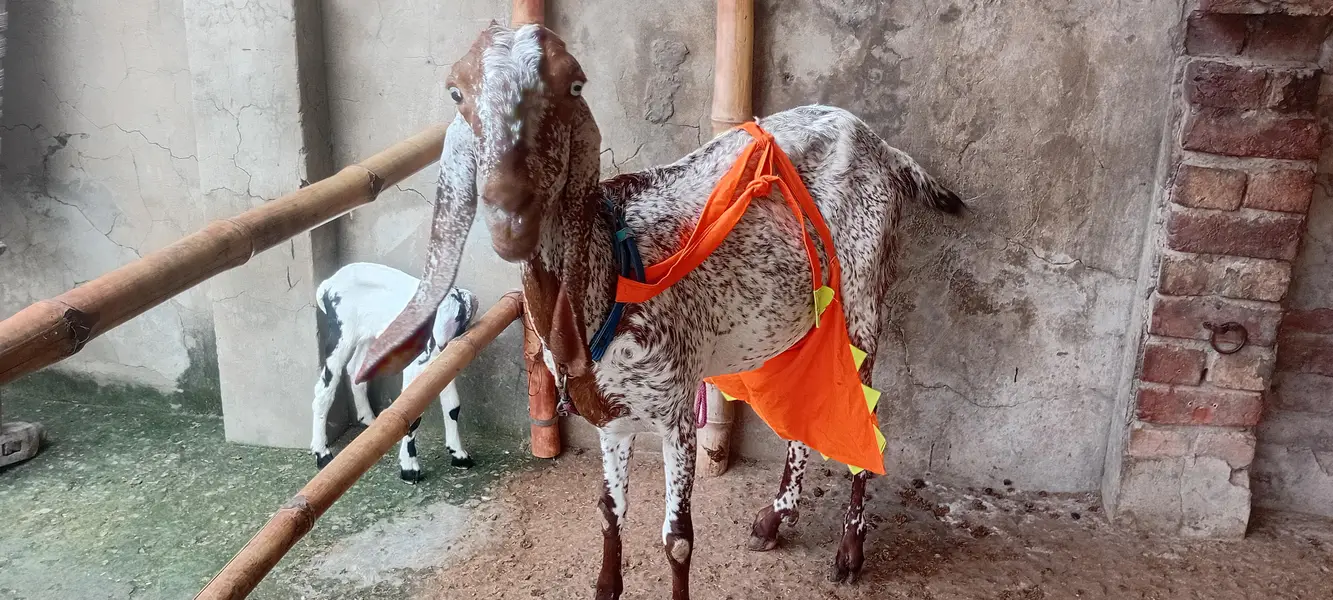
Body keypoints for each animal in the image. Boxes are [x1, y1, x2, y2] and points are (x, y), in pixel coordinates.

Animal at [312, 262, 479, 483]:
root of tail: (326, 285)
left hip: (369, 336)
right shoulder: (416, 367)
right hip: (342, 335)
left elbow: (453, 406)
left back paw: (370, 422)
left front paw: (459, 454)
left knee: (355, 370)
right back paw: (322, 453)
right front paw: (409, 468)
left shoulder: (446, 363)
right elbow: (412, 411)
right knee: (325, 389)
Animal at [357, 24, 964, 599]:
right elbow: (609, 512)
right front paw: (606, 585)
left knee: (866, 413)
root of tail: (881, 146)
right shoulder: (613, 417)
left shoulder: (675, 411)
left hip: (862, 297)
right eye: (457, 92)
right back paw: (775, 520)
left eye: (573, 86)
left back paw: (850, 552)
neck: (609, 285)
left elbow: (677, 540)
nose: (510, 214)